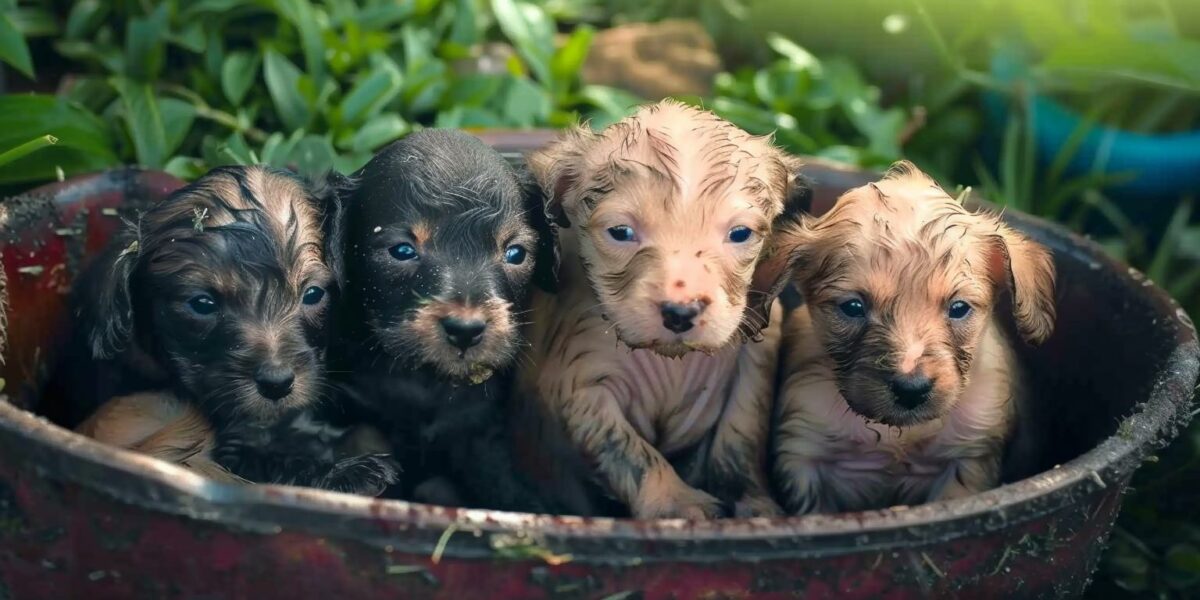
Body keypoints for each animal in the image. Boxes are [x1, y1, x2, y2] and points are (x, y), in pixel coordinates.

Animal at [324, 129, 556, 508]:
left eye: (515, 253)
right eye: (402, 250)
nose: (466, 331)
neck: (422, 376)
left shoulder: (478, 429)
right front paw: (349, 476)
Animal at [772, 162, 1056, 513]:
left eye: (959, 308)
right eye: (853, 307)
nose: (911, 390)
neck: (898, 434)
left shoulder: (968, 459)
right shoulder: (803, 453)